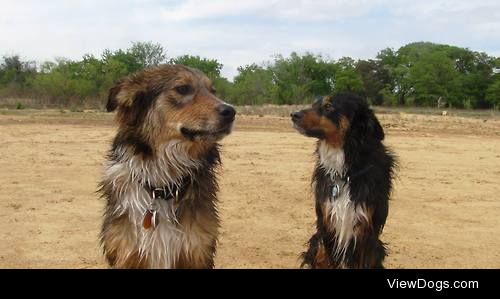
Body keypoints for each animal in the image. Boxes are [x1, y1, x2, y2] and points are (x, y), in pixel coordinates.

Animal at [100, 63, 237, 270]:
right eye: (182, 89)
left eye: (213, 91)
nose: (231, 111)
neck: (162, 188)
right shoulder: (127, 252)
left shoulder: (197, 251)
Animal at [292, 94, 396, 270]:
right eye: (314, 104)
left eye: (328, 106)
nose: (293, 115)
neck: (346, 172)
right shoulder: (327, 225)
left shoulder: (366, 231)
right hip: (317, 242)